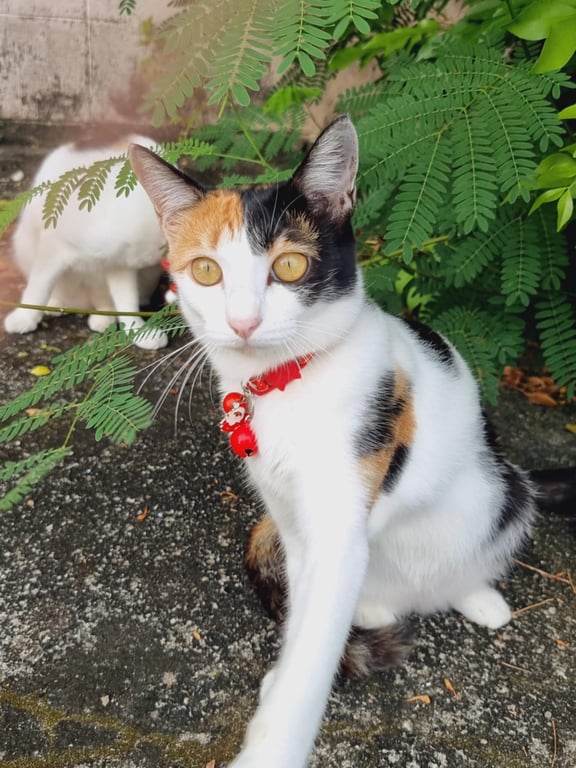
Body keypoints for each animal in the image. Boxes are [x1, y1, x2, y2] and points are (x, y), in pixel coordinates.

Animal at [4, 136, 169, 350]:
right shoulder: (54, 249)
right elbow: (38, 287)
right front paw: (24, 318)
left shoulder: (121, 265)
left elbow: (127, 302)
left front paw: (139, 331)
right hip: (24, 243)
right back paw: (54, 304)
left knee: (107, 301)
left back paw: (103, 318)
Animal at [129, 116, 539, 768]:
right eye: (206, 271)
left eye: (291, 267)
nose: (243, 323)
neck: (286, 384)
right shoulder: (293, 521)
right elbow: (305, 614)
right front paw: (285, 674)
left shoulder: (345, 508)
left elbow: (316, 637)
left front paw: (277, 737)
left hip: (508, 488)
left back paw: (481, 599)